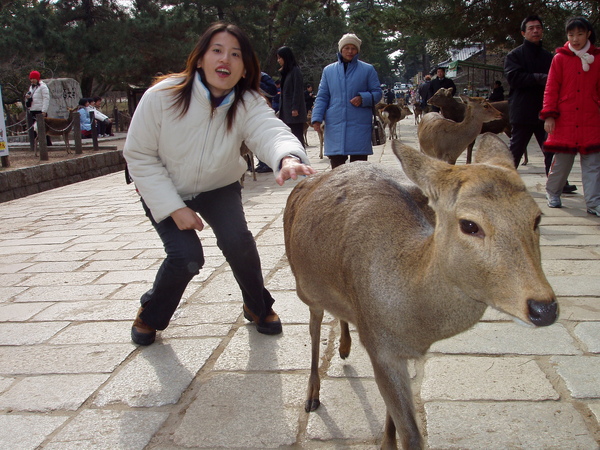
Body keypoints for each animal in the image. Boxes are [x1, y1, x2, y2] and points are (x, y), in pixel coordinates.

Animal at [284, 134, 556, 450]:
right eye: (469, 224)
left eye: (537, 218)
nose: (544, 308)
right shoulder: (380, 346)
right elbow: (412, 435)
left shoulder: (398, 351)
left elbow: (395, 419)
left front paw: (386, 442)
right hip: (302, 284)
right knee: (314, 326)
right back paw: (312, 396)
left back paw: (344, 347)